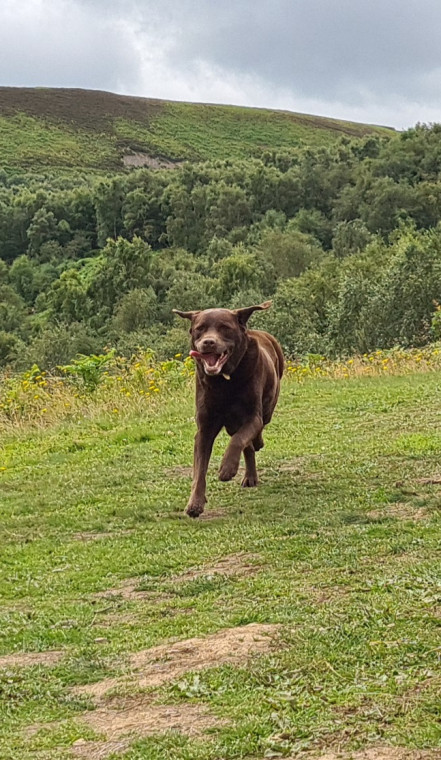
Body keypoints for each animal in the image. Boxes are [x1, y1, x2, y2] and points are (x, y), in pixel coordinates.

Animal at [173, 301, 284, 517]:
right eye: (200, 329)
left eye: (224, 327)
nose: (208, 342)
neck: (224, 382)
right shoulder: (205, 427)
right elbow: (200, 469)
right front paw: (195, 503)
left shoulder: (252, 416)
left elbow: (239, 440)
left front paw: (227, 468)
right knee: (248, 447)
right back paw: (250, 476)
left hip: (268, 405)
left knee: (255, 434)